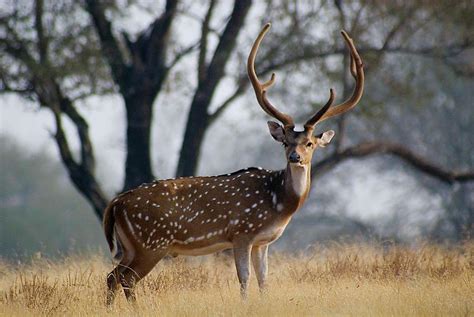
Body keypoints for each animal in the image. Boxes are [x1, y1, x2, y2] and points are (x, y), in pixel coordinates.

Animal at [103, 23, 362, 302]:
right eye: (285, 142)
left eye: (310, 143)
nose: (295, 157)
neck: (279, 202)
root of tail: (116, 203)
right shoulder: (242, 232)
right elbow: (244, 278)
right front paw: (245, 304)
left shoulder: (262, 241)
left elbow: (263, 280)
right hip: (151, 243)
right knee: (126, 278)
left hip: (132, 246)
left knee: (112, 277)